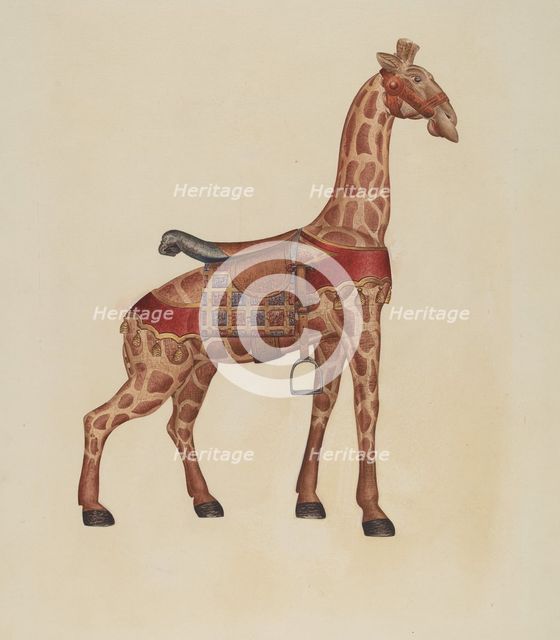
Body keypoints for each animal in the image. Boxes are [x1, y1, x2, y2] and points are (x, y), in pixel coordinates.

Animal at [79, 38, 458, 535]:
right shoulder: (367, 328)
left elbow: (322, 409)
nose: (450, 121)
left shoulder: (330, 338)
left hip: (196, 372)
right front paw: (375, 515)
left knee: (178, 426)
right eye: (414, 78)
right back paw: (94, 510)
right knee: (97, 420)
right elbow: (368, 412)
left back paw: (207, 502)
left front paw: (309, 502)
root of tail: (129, 320)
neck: (353, 230)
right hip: (154, 376)